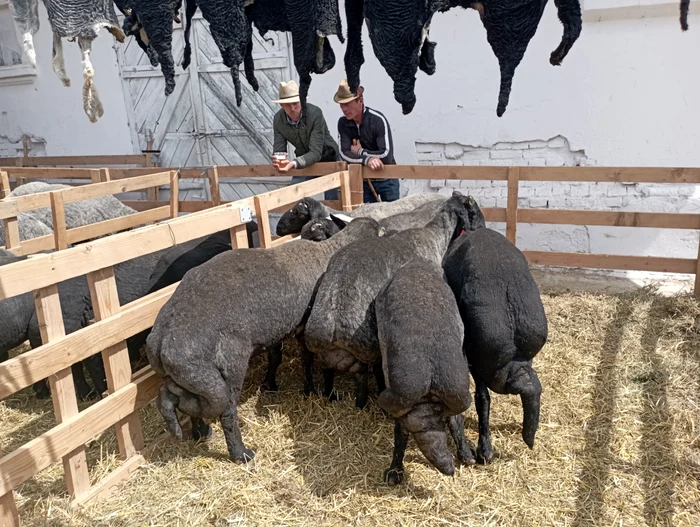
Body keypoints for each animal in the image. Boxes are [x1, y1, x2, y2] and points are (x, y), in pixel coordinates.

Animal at [145, 217, 384, 462]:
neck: (327, 251)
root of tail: (163, 339)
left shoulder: (275, 331)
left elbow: (276, 357)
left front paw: (271, 384)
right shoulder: (303, 324)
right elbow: (306, 359)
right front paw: (309, 389)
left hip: (191, 376)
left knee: (184, 400)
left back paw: (196, 429)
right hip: (229, 366)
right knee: (226, 412)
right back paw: (240, 453)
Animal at [303, 192, 477, 409]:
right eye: (470, 210)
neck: (435, 235)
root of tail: (332, 327)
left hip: (328, 354)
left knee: (329, 372)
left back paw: (331, 396)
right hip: (368, 347)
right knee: (365, 375)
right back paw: (365, 402)